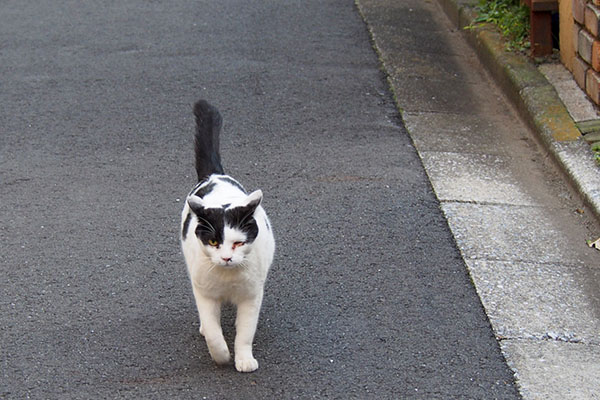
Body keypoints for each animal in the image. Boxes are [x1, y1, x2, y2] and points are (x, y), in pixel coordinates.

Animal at [179, 99, 276, 372]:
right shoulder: (205, 293)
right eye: (213, 241)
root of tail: (214, 175)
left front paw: (244, 359)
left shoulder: (251, 296)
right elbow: (214, 333)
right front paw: (221, 355)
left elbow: (245, 332)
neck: (228, 278)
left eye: (239, 243)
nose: (226, 258)